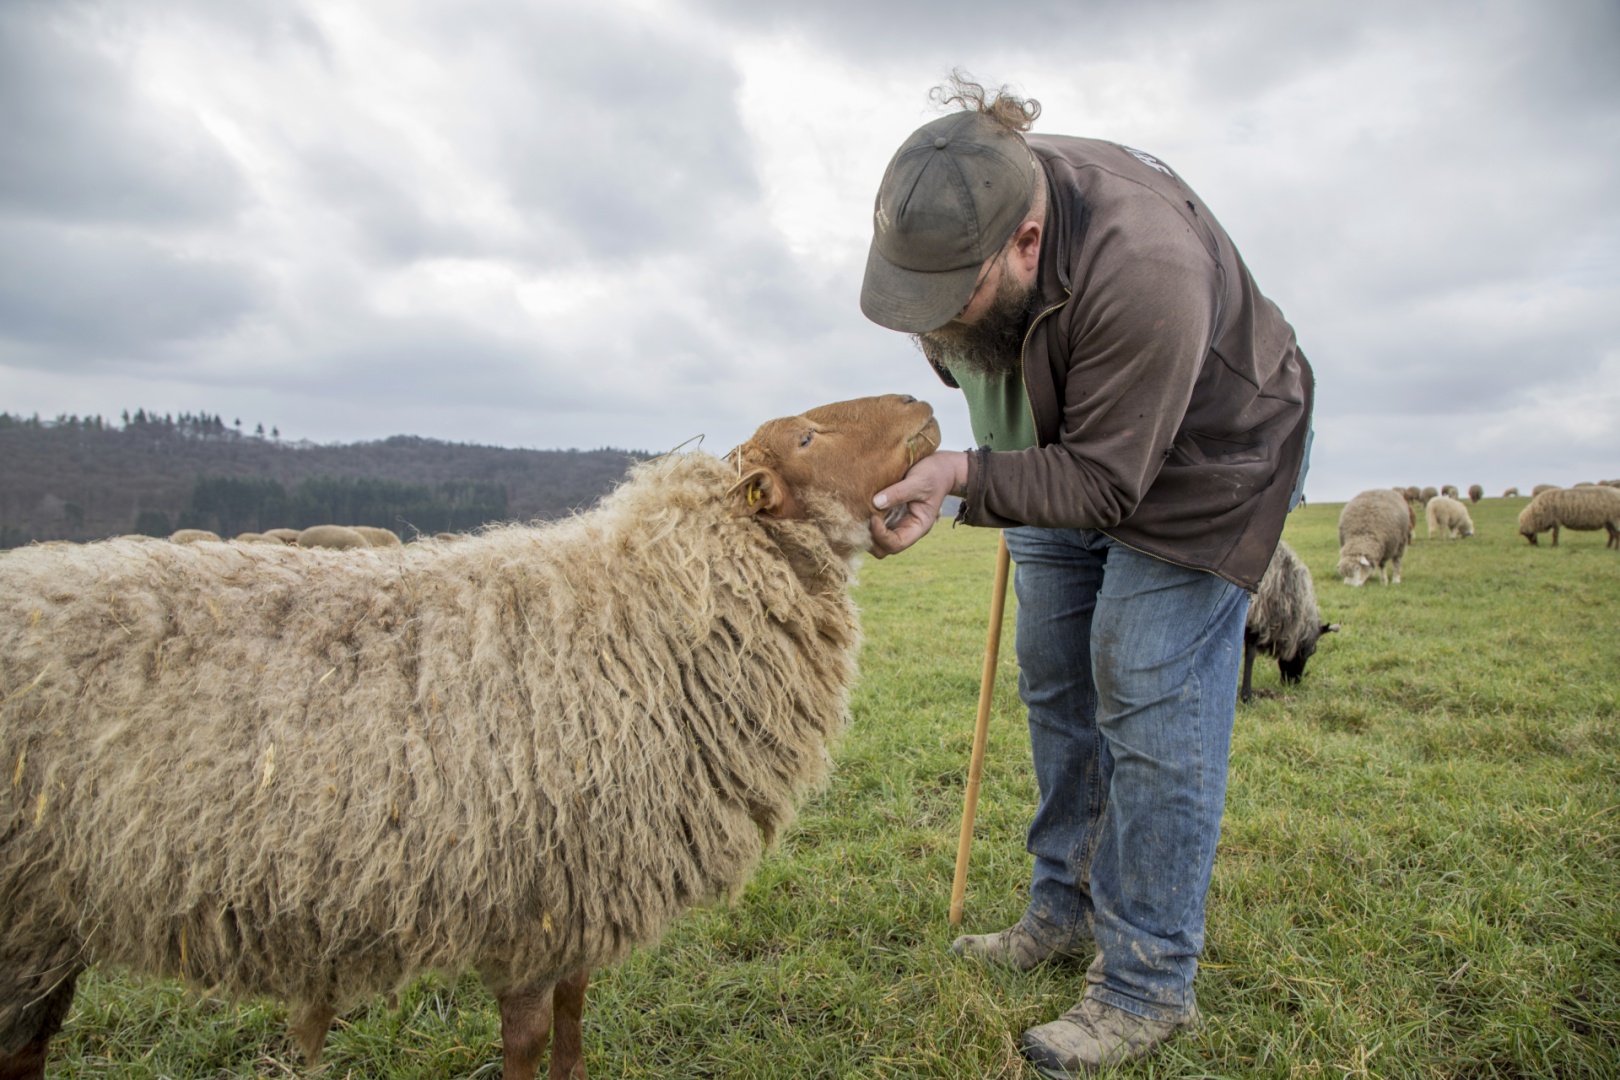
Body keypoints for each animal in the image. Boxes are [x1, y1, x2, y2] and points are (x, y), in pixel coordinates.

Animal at [0, 393, 946, 1075]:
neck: (641, 617)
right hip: (25, 918)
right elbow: (527, 1041)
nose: (923, 405)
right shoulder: (528, 901)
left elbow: (572, 1023)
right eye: (810, 437)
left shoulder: (578, 895)